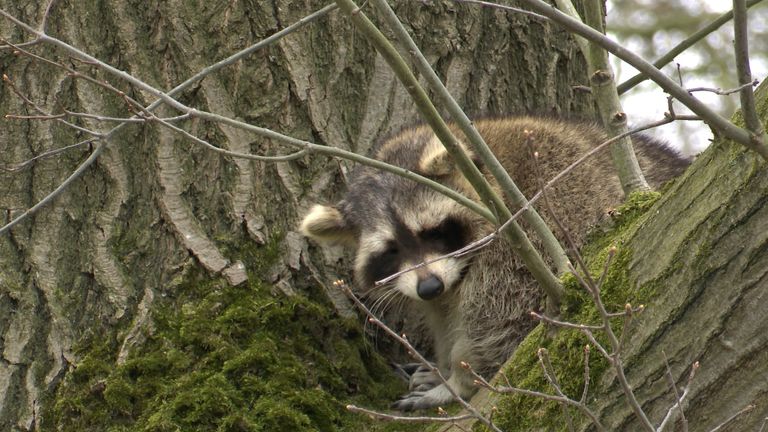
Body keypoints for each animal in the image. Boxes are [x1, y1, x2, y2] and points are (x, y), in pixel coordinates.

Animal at [300, 116, 688, 410]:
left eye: (433, 231)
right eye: (392, 250)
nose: (429, 287)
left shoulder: (532, 224)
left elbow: (500, 316)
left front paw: (458, 378)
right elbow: (446, 313)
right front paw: (443, 364)